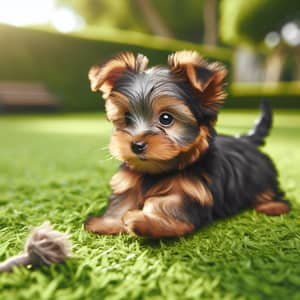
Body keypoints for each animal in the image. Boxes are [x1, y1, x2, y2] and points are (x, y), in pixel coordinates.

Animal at [83, 51, 290, 238]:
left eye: (166, 118)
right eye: (126, 118)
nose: (136, 145)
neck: (161, 170)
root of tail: (245, 139)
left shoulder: (194, 192)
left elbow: (164, 204)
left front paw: (144, 221)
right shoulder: (129, 181)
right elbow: (123, 199)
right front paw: (107, 223)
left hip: (260, 175)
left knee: (269, 189)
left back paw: (273, 205)